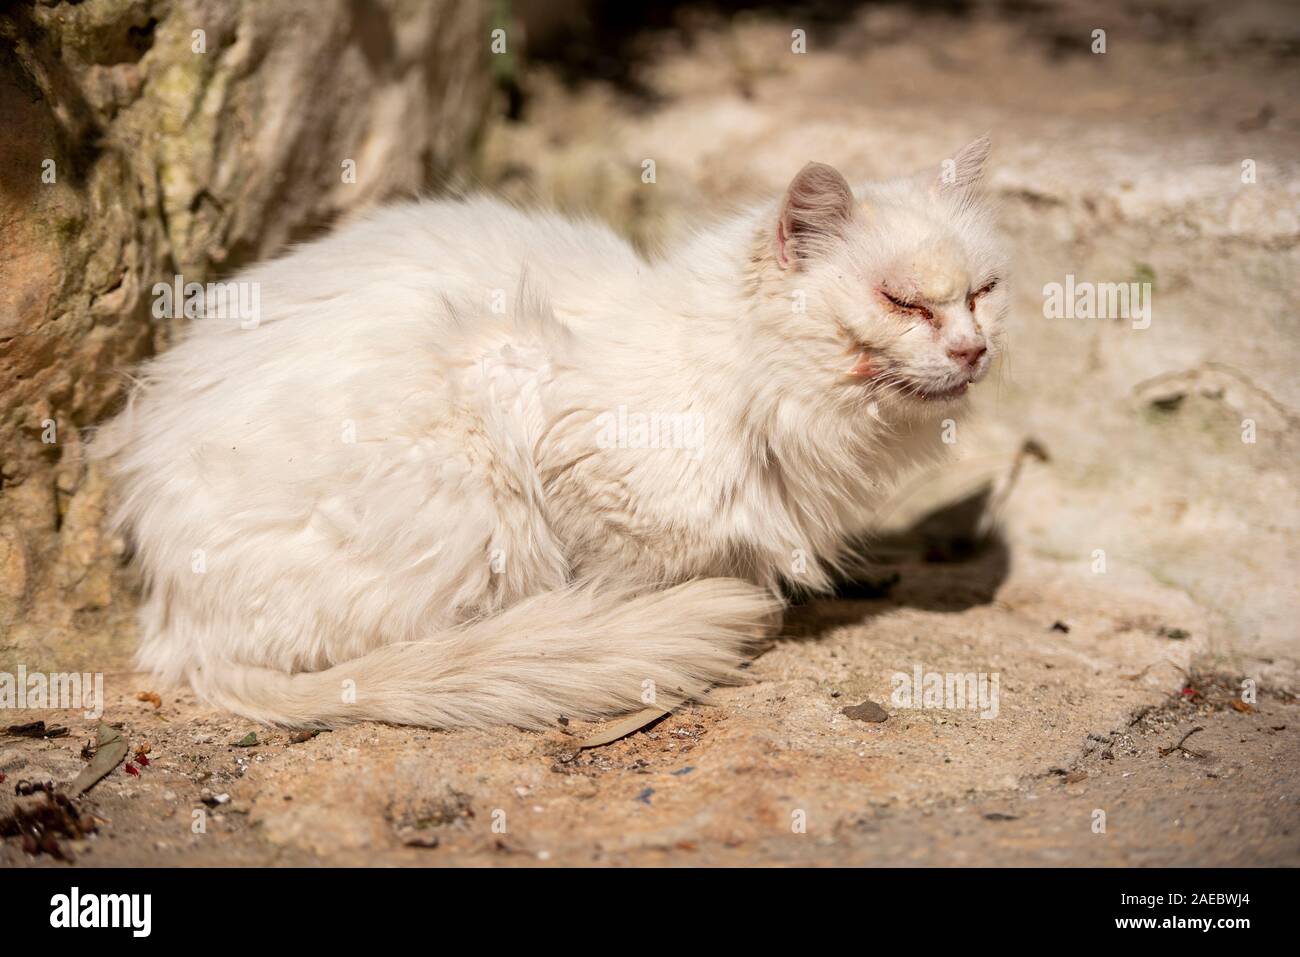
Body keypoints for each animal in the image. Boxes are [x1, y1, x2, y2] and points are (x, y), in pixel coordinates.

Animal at [96, 138, 1008, 728]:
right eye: (903, 303)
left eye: (982, 293)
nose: (973, 349)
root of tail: (178, 621)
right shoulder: (574, 448)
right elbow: (629, 571)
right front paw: (633, 614)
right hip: (473, 454)